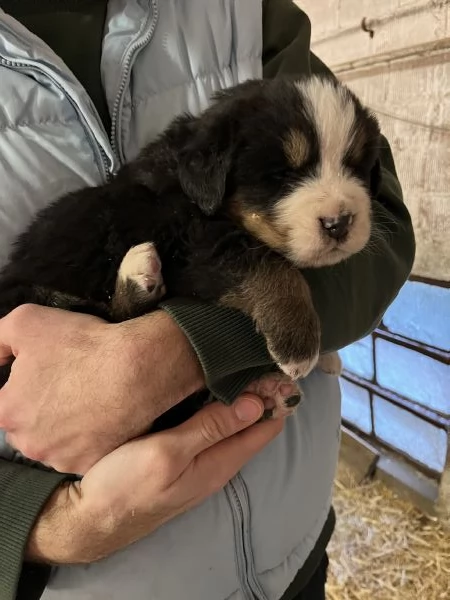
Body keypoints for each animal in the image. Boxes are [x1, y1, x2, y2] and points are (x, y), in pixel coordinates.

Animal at [0, 76, 380, 426]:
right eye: (281, 175)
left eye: (356, 167)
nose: (339, 222)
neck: (187, 186)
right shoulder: (188, 239)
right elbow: (270, 267)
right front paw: (298, 340)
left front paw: (327, 355)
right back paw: (137, 276)